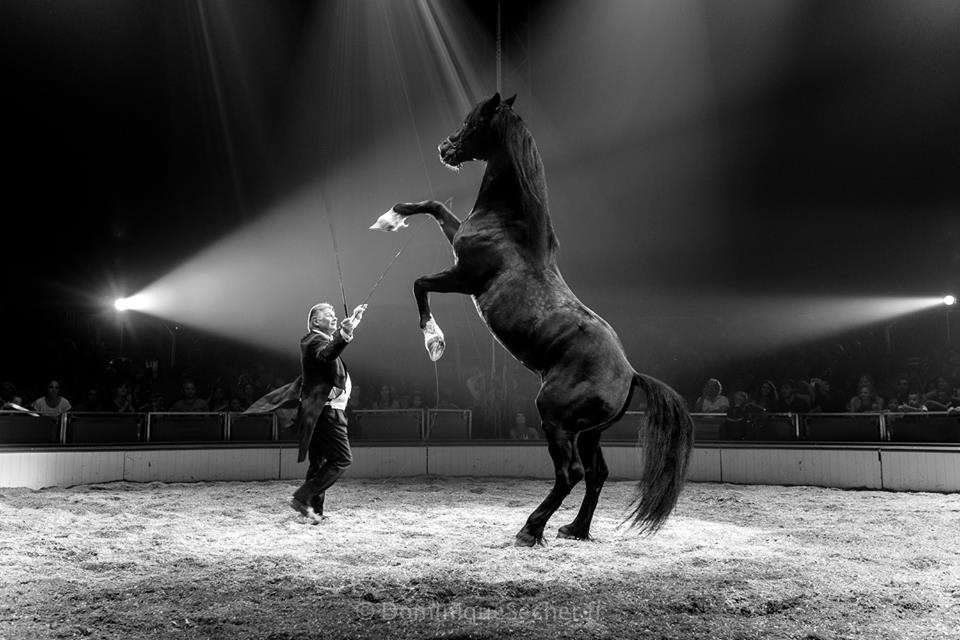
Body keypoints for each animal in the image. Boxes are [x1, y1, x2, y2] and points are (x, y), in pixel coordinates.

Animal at [371, 92, 693, 546]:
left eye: (473, 122)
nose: (444, 148)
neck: (511, 230)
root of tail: (630, 374)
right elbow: (434, 206)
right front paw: (392, 215)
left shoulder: (462, 277)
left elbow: (418, 284)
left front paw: (433, 341)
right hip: (588, 433)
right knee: (597, 474)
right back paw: (574, 530)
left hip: (556, 421)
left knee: (570, 473)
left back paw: (530, 529)